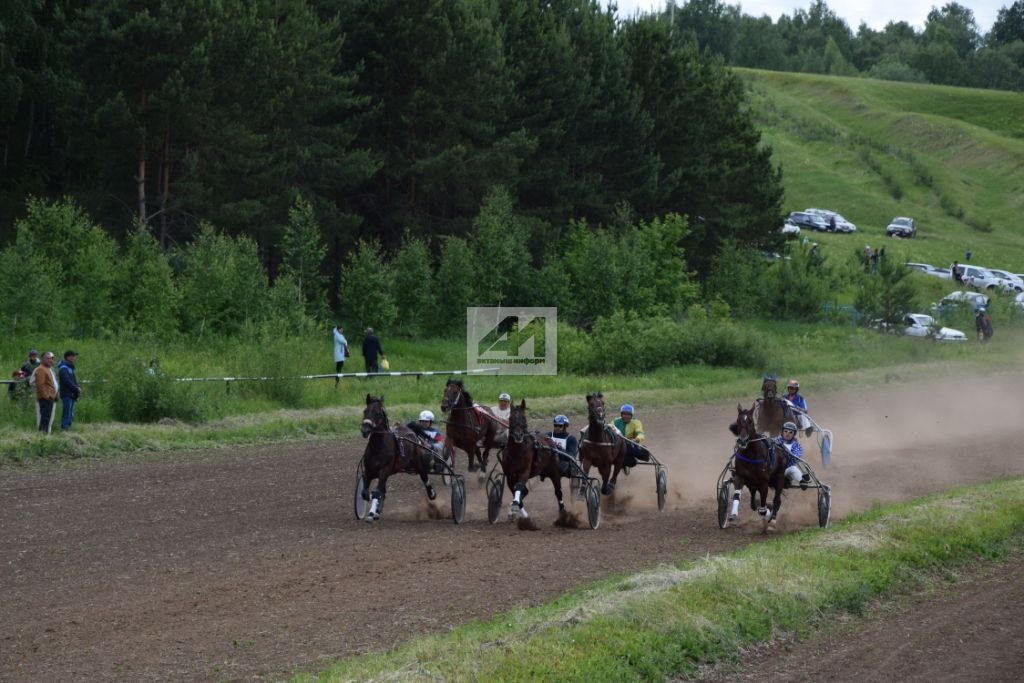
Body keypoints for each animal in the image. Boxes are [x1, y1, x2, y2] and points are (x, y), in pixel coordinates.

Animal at [360, 395, 436, 524]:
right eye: (365, 411)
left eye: (378, 413)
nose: (365, 430)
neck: (377, 448)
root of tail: (408, 429)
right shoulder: (369, 471)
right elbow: (365, 493)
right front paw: (375, 509)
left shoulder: (384, 471)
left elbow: (377, 492)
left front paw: (371, 513)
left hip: (418, 461)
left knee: (424, 476)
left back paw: (431, 493)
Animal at [724, 403, 786, 532]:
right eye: (738, 421)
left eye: (751, 421)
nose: (743, 440)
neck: (750, 454)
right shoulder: (740, 476)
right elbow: (737, 495)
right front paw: (733, 515)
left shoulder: (764, 482)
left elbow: (763, 510)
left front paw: (769, 515)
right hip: (752, 483)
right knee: (754, 499)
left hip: (779, 477)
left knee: (777, 500)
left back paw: (772, 520)